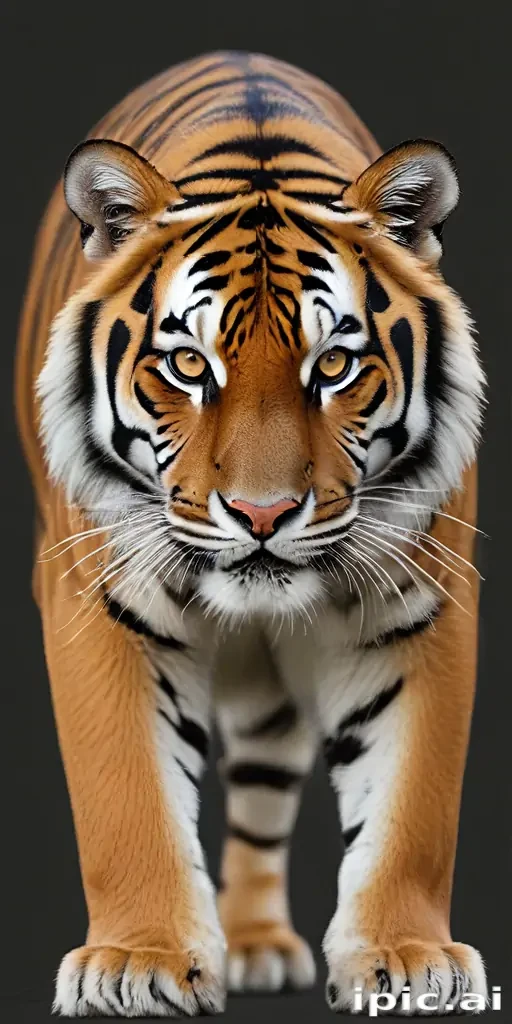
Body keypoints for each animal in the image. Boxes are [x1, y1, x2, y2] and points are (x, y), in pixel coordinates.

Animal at [15, 50, 487, 1016]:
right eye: (187, 365)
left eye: (334, 365)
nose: (264, 516)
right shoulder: (95, 600)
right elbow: (127, 793)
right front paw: (140, 963)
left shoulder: (422, 604)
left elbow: (413, 802)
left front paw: (407, 957)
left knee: (265, 779)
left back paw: (258, 945)